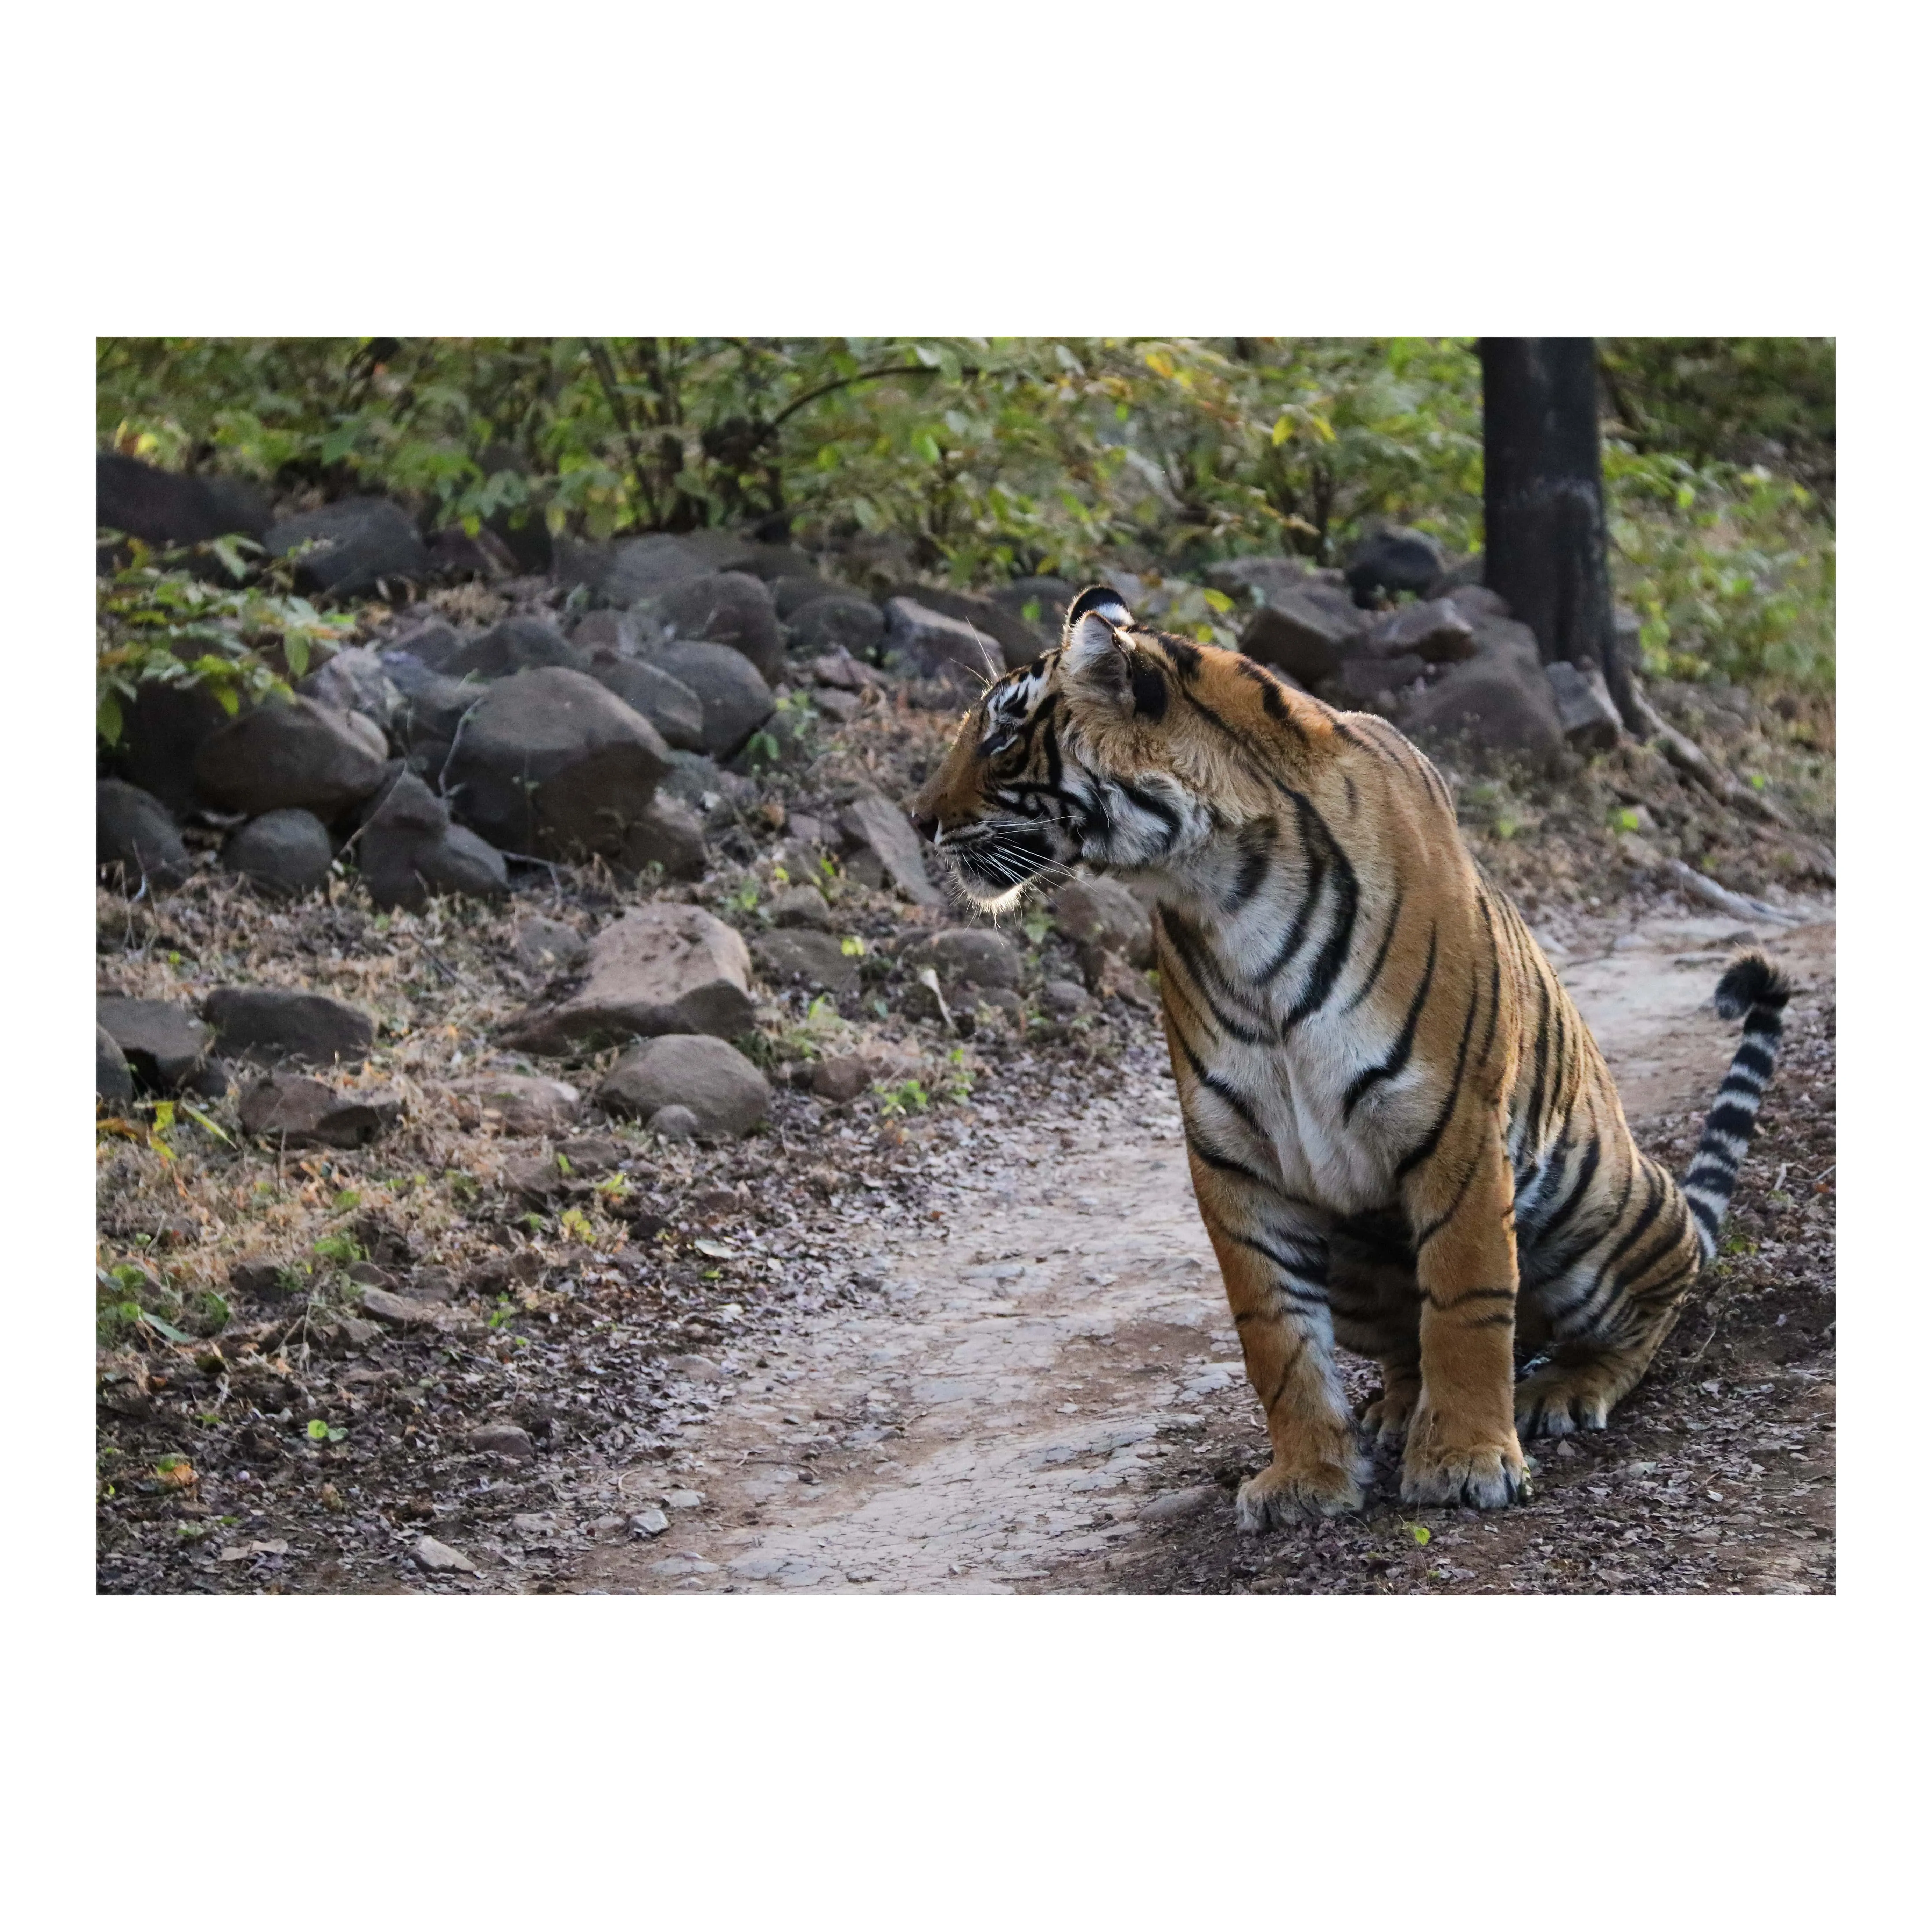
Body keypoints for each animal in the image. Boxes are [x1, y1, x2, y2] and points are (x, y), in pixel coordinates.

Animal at [909, 584, 1792, 1526]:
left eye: (1002, 734)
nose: (920, 820)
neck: (1219, 889)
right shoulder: (1232, 1151)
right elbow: (1274, 1334)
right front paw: (1306, 1477)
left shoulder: (1455, 1127)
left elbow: (1466, 1303)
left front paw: (1467, 1460)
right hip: (1356, 1260)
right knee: (1403, 1341)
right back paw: (1399, 1408)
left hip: (1601, 1213)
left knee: (1648, 1308)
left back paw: (1563, 1387)